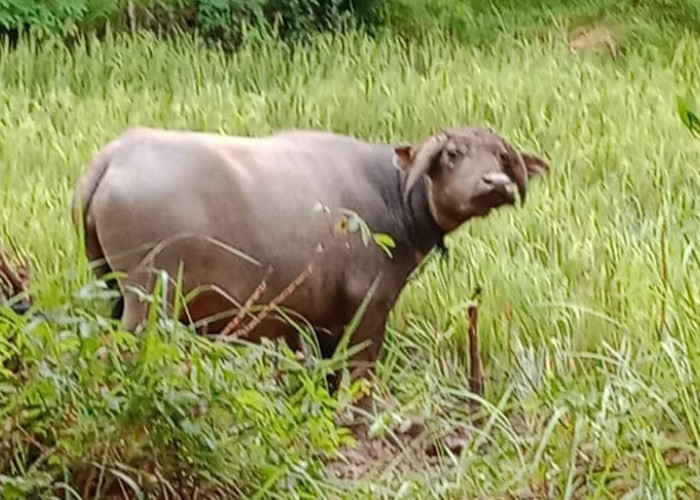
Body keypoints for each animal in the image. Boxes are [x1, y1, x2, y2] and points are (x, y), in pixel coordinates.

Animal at [72, 125, 552, 386]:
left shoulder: (317, 320)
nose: (494, 184)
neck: (392, 194)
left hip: (110, 288)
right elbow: (361, 374)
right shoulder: (368, 305)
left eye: (501, 157)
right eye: (453, 153)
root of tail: (112, 158)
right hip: (149, 299)